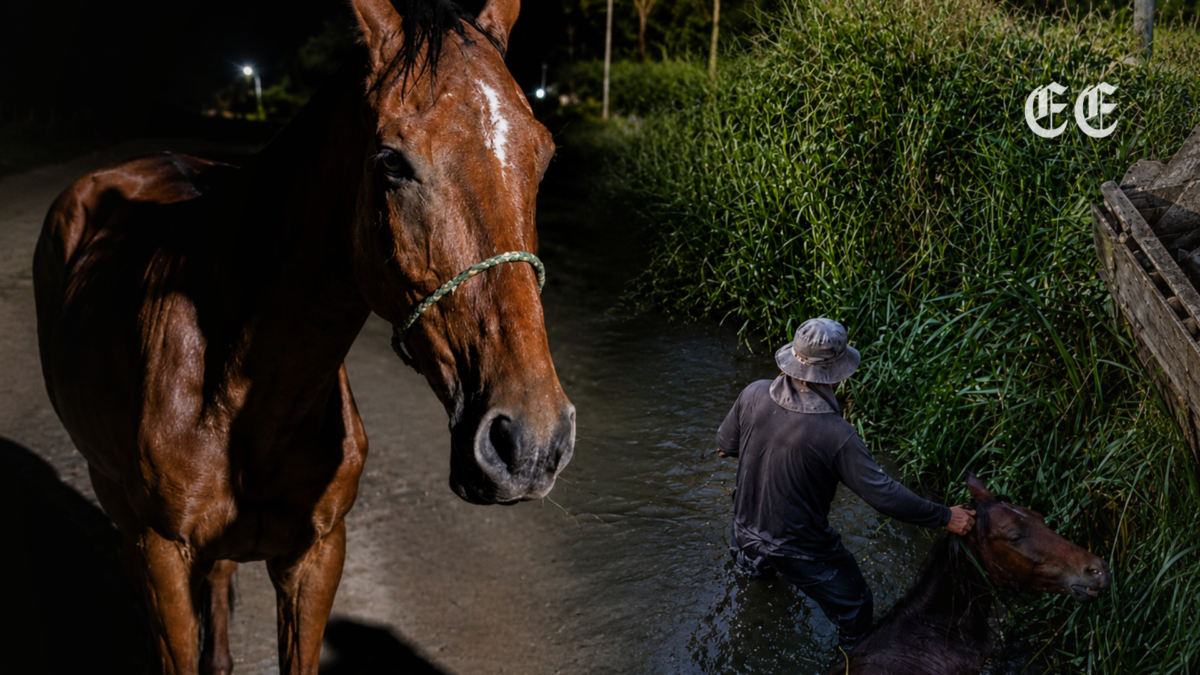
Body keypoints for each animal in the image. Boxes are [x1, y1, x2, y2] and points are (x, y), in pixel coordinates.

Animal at [32, 0, 575, 673]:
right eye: (390, 161)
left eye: (543, 157)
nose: (531, 443)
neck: (238, 395)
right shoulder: (161, 557)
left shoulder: (316, 557)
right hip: (115, 501)